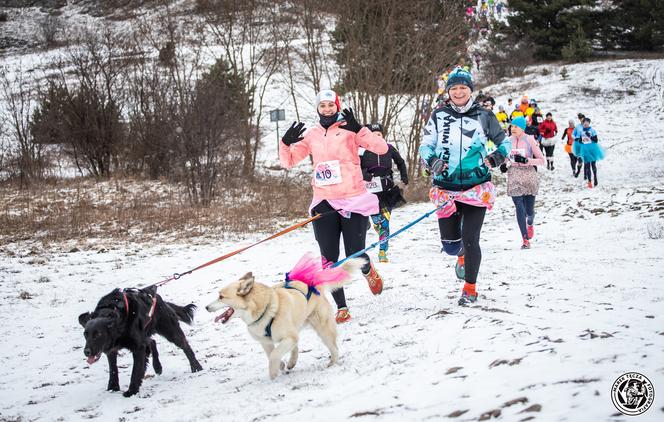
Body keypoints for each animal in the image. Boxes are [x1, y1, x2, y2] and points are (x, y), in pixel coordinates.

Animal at [206, 254, 364, 380]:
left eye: (221, 297)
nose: (206, 307)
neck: (264, 309)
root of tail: (314, 285)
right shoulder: (266, 341)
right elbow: (272, 353)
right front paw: (281, 365)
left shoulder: (287, 337)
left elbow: (274, 355)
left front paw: (273, 373)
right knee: (296, 347)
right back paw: (291, 362)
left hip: (322, 328)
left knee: (333, 347)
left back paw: (333, 362)